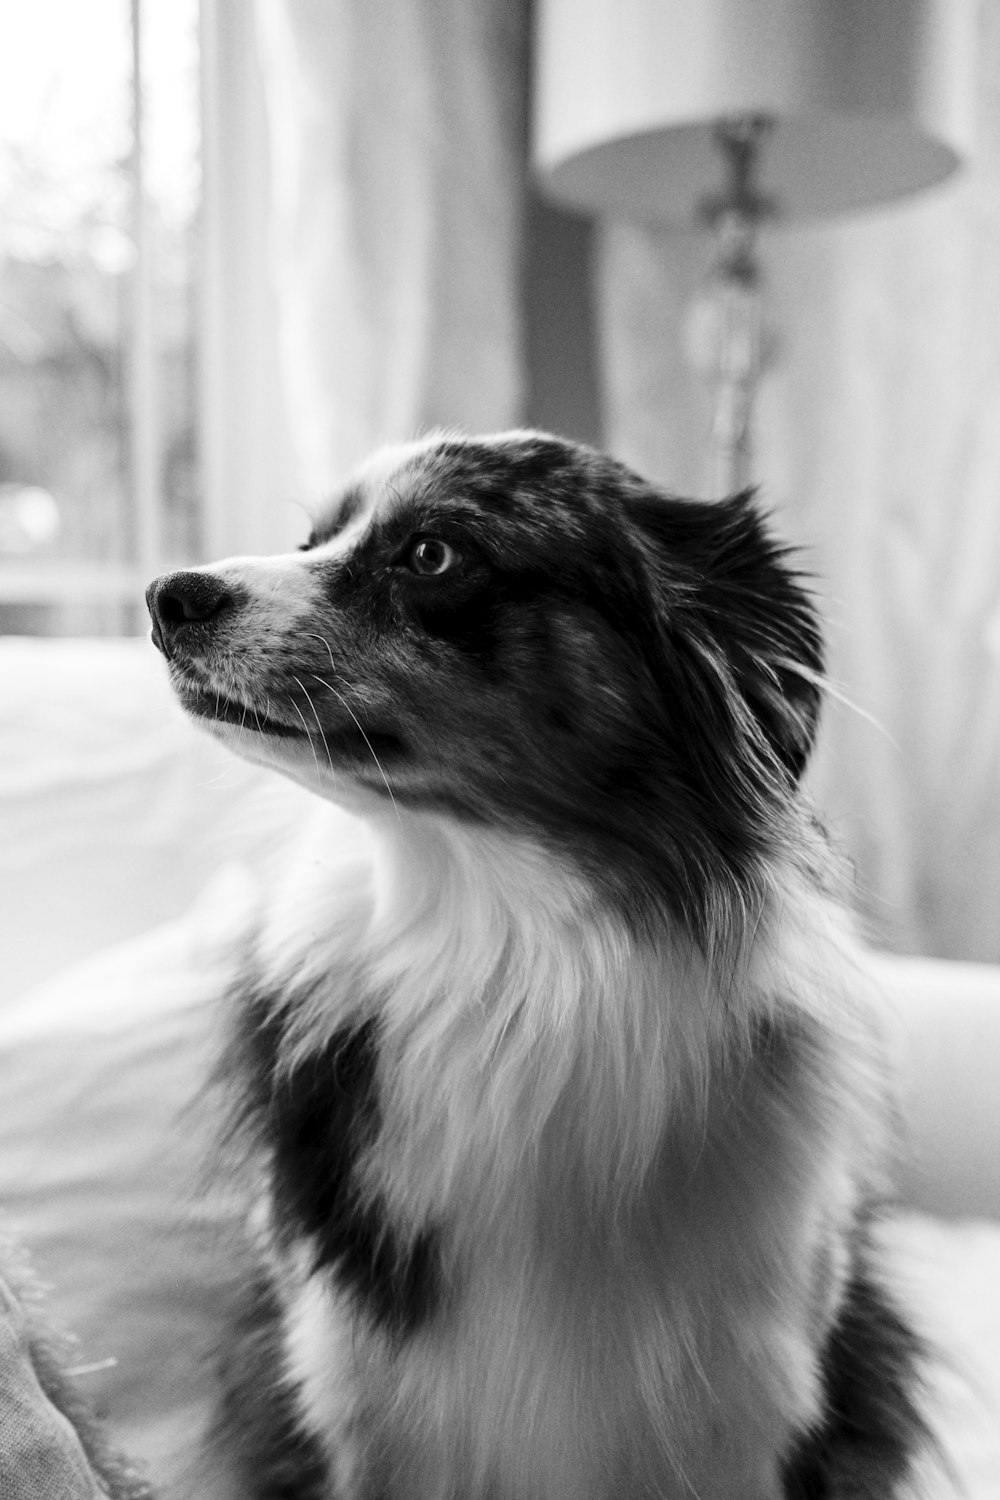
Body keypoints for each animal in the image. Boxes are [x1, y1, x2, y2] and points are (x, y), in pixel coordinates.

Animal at [144, 432, 929, 1500]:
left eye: (432, 554)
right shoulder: (361, 1396)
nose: (165, 596)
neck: (511, 957)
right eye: (314, 539)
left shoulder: (748, 1398)